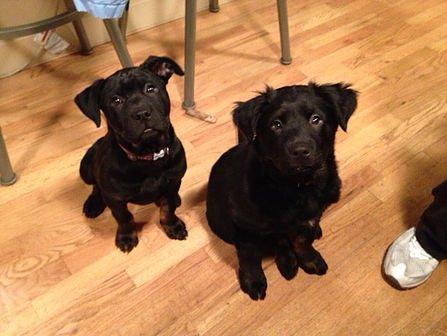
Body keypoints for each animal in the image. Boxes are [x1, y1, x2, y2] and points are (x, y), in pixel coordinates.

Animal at [208, 82, 358, 300]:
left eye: (316, 119)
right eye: (276, 125)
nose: (300, 151)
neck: (296, 186)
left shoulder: (310, 217)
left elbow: (302, 240)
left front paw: (309, 258)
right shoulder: (244, 226)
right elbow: (249, 255)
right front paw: (253, 280)